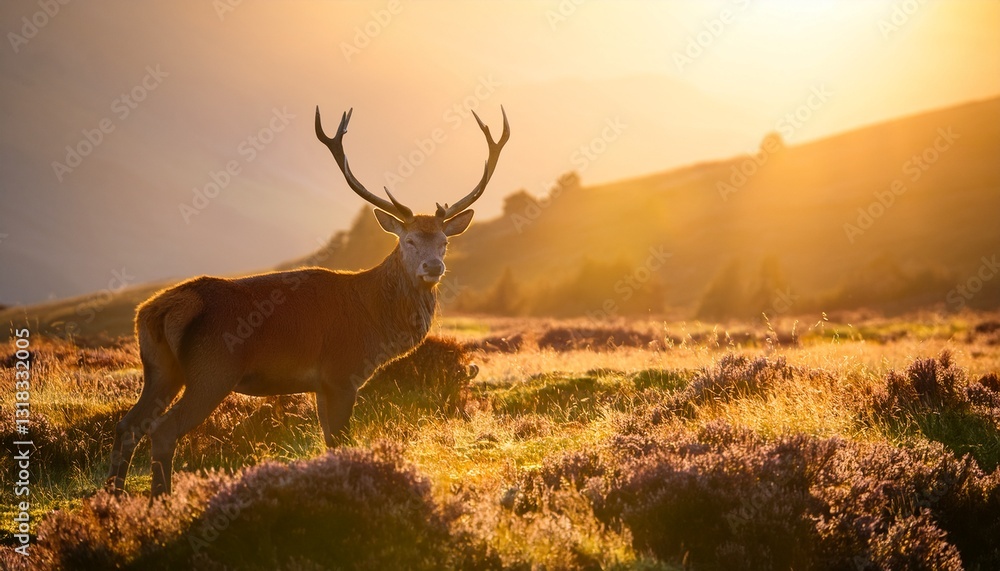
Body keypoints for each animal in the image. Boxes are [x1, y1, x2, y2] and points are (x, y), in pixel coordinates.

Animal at [105, 105, 509, 498]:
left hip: (160, 369)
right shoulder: (342, 373)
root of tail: (156, 310)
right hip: (212, 371)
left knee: (128, 425)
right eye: (408, 240)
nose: (433, 266)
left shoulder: (319, 383)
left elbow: (328, 440)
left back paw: (114, 498)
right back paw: (160, 502)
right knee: (162, 430)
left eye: (444, 241)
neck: (376, 323)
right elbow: (341, 440)